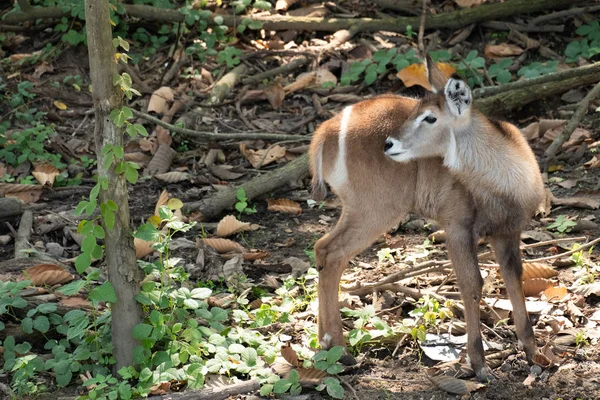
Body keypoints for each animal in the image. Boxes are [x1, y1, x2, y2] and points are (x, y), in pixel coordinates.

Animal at [308, 56, 548, 382]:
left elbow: (514, 278)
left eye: (430, 117)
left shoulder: (507, 232)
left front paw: (534, 353)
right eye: (416, 111)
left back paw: (328, 348)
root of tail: (326, 131)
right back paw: (340, 349)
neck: (507, 178)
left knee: (325, 251)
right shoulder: (458, 227)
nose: (389, 144)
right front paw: (479, 365)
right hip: (375, 210)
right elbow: (472, 284)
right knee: (330, 252)